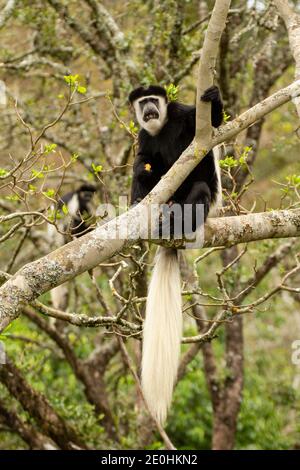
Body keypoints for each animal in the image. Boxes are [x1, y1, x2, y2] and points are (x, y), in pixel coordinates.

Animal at [129, 84, 223, 426]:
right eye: (143, 103)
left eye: (154, 101)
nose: (149, 110)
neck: (161, 127)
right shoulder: (143, 136)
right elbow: (142, 160)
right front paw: (140, 179)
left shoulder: (184, 114)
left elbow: (211, 126)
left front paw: (215, 98)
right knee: (144, 173)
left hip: (200, 201)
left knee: (200, 188)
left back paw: (175, 219)